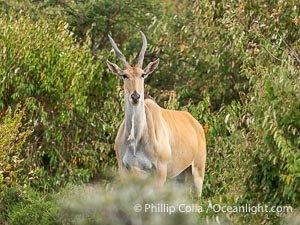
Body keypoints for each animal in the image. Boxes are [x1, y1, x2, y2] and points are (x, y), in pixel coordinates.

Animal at [106, 31, 206, 195]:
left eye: (142, 75)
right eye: (124, 75)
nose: (135, 96)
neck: (136, 138)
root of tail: (196, 124)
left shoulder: (159, 172)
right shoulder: (125, 170)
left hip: (197, 172)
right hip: (178, 177)